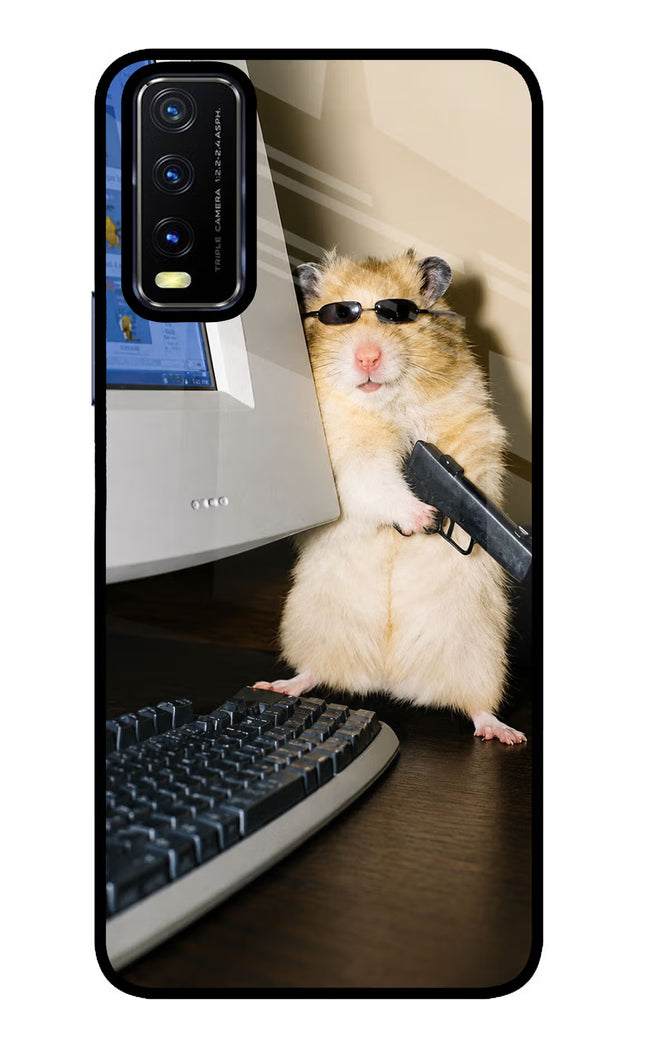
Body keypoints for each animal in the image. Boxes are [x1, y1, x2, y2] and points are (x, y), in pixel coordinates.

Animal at [255, 249, 526, 744]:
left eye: (397, 314)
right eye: (339, 316)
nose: (367, 357)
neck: (386, 404)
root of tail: (388, 678)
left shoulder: (472, 429)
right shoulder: (347, 458)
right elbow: (378, 482)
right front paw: (423, 518)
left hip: (479, 654)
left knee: (477, 705)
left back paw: (504, 733)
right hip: (311, 626)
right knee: (314, 672)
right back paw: (279, 685)